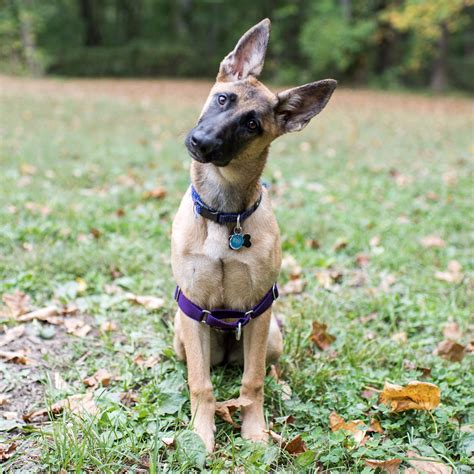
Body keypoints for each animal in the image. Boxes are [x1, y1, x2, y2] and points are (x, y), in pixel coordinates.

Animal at [171, 18, 336, 454]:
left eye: (252, 124)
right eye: (222, 98)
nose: (201, 143)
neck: (225, 214)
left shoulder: (260, 313)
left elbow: (253, 380)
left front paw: (255, 431)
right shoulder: (192, 310)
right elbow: (201, 383)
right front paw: (200, 434)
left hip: (273, 334)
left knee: (261, 367)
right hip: (181, 334)